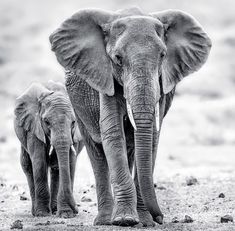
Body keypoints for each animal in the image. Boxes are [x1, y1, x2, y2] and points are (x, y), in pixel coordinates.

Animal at [14, 80, 83, 217]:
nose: (77, 210)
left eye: (73, 122)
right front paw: (42, 214)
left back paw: (55, 210)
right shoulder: (34, 126)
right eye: (46, 122)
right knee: (27, 165)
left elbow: (69, 162)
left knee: (55, 167)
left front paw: (66, 215)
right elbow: (40, 161)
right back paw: (36, 212)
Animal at [49, 6, 211, 226]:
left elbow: (152, 138)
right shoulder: (104, 76)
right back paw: (104, 220)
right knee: (97, 152)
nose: (160, 218)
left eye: (163, 55)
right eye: (117, 58)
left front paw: (144, 221)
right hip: (77, 103)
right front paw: (125, 220)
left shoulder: (162, 84)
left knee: (131, 149)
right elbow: (112, 132)